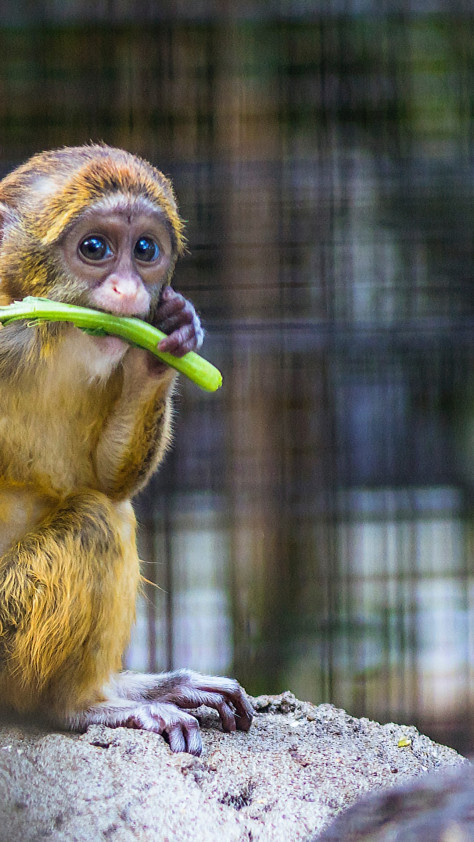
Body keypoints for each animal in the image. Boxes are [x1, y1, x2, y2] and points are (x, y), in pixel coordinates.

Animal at [0, 144, 254, 756]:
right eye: (95, 248)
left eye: (145, 250)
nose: (129, 291)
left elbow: (108, 480)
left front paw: (168, 342)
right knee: (96, 520)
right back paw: (74, 708)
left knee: (107, 509)